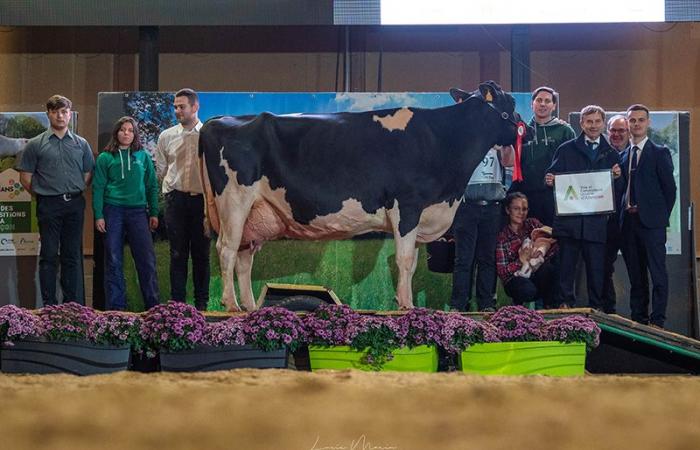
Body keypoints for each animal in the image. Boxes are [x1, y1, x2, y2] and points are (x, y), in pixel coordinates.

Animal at [200, 81, 528, 312]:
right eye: (511, 102)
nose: (529, 131)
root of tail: (218, 120)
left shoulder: (420, 212)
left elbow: (412, 261)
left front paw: (406, 302)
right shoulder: (407, 204)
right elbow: (405, 260)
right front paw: (405, 305)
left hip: (255, 213)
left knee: (244, 258)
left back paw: (249, 306)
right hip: (234, 201)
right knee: (227, 249)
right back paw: (231, 305)